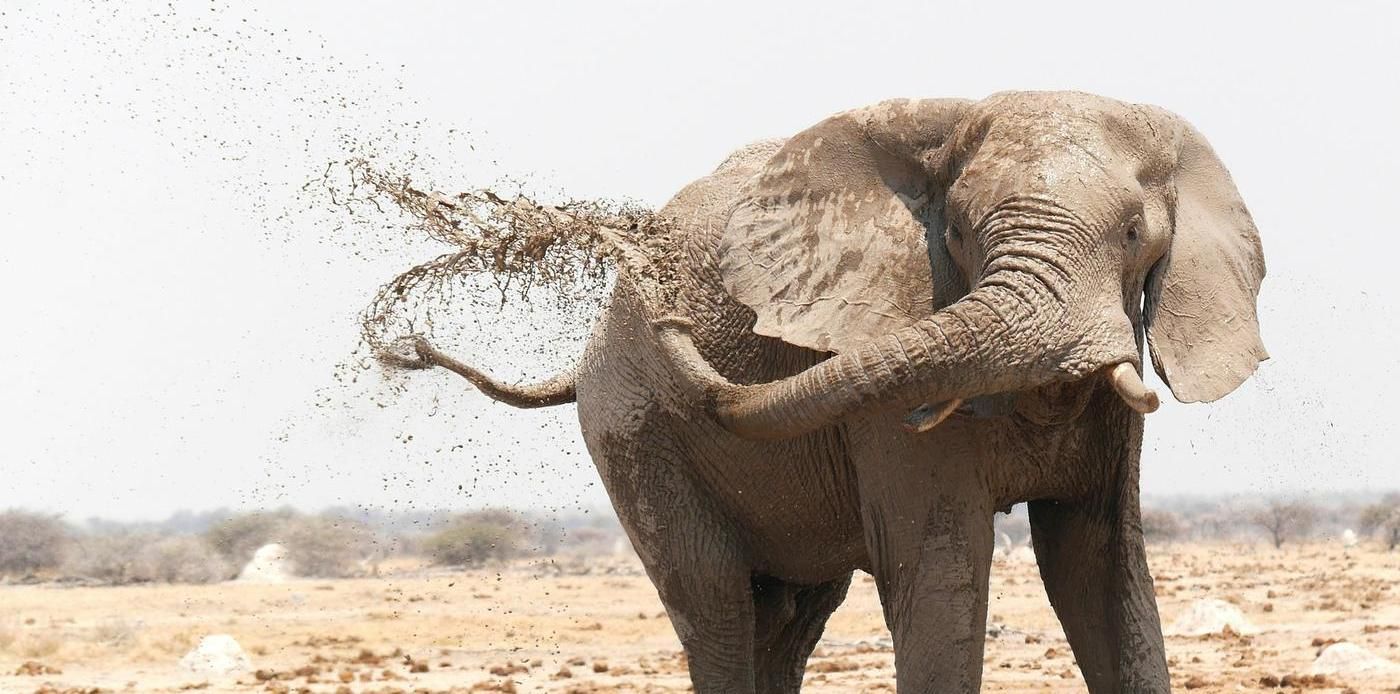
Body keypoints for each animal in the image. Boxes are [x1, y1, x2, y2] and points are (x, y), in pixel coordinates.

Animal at [400, 89, 1265, 691]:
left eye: (1134, 234)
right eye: (957, 234)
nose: (670, 313)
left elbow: (1101, 569)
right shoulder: (884, 389)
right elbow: (943, 566)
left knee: (789, 616)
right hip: (633, 432)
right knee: (717, 607)